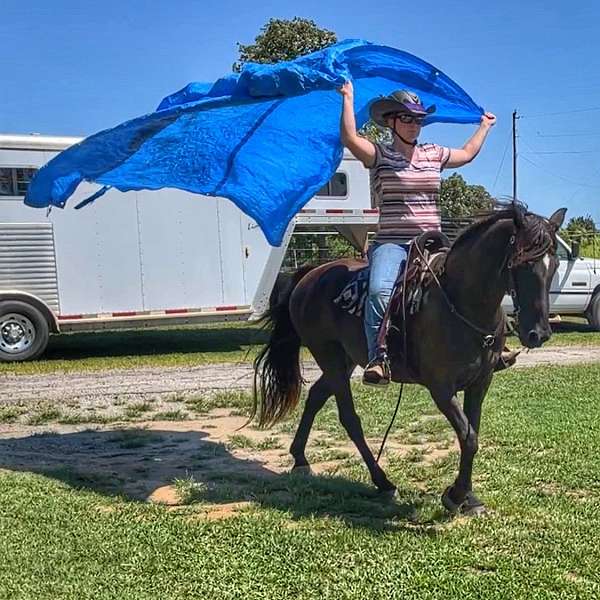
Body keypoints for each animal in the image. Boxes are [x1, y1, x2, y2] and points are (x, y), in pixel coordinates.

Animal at [253, 204, 568, 512]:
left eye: (554, 265)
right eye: (522, 263)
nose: (538, 333)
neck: (460, 303)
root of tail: (310, 275)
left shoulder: (480, 384)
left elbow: (472, 433)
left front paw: (468, 497)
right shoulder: (441, 389)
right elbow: (468, 437)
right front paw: (455, 495)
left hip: (344, 360)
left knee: (317, 395)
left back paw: (300, 458)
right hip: (327, 355)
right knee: (349, 418)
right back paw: (382, 481)